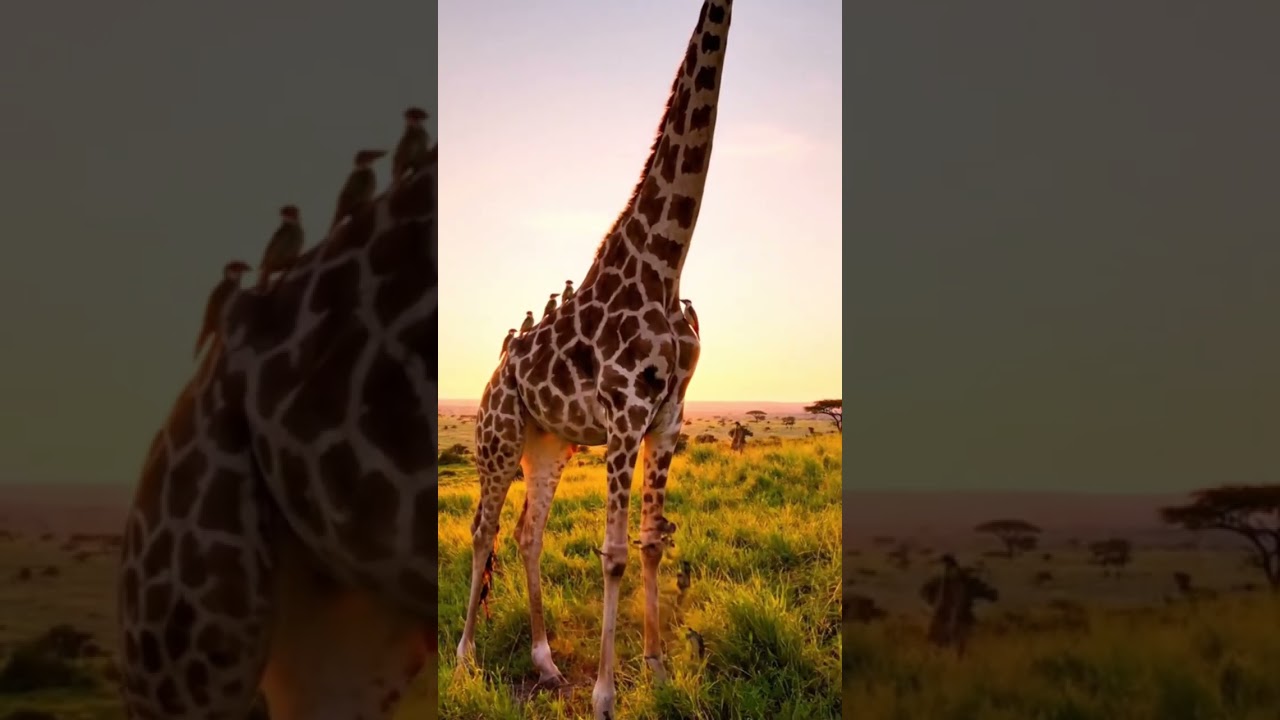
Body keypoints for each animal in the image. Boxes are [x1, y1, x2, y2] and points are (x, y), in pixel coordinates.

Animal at [455, 2, 733, 718]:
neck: (664, 263)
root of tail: (491, 378)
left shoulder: (668, 418)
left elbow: (652, 540)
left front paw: (658, 672)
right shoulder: (624, 414)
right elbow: (612, 551)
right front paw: (607, 694)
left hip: (550, 443)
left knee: (527, 533)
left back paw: (546, 662)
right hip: (499, 438)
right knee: (481, 529)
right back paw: (465, 655)